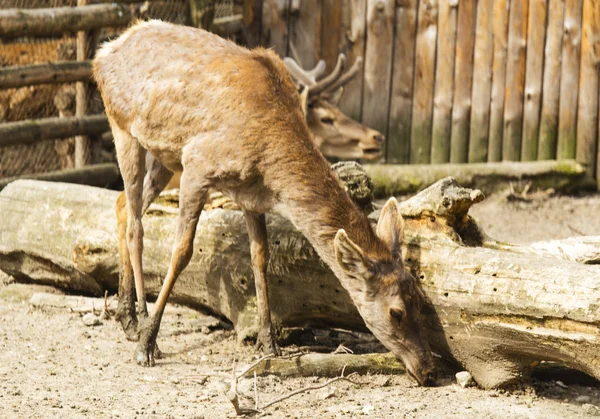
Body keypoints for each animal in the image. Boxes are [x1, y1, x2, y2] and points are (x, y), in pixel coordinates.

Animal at [96, 19, 438, 388]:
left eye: (422, 301)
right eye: (397, 311)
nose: (429, 370)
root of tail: (106, 50)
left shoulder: (250, 195)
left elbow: (260, 258)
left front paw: (268, 344)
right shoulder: (198, 165)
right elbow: (182, 251)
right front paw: (148, 343)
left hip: (164, 156)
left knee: (122, 206)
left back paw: (127, 318)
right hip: (123, 127)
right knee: (136, 225)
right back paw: (142, 325)